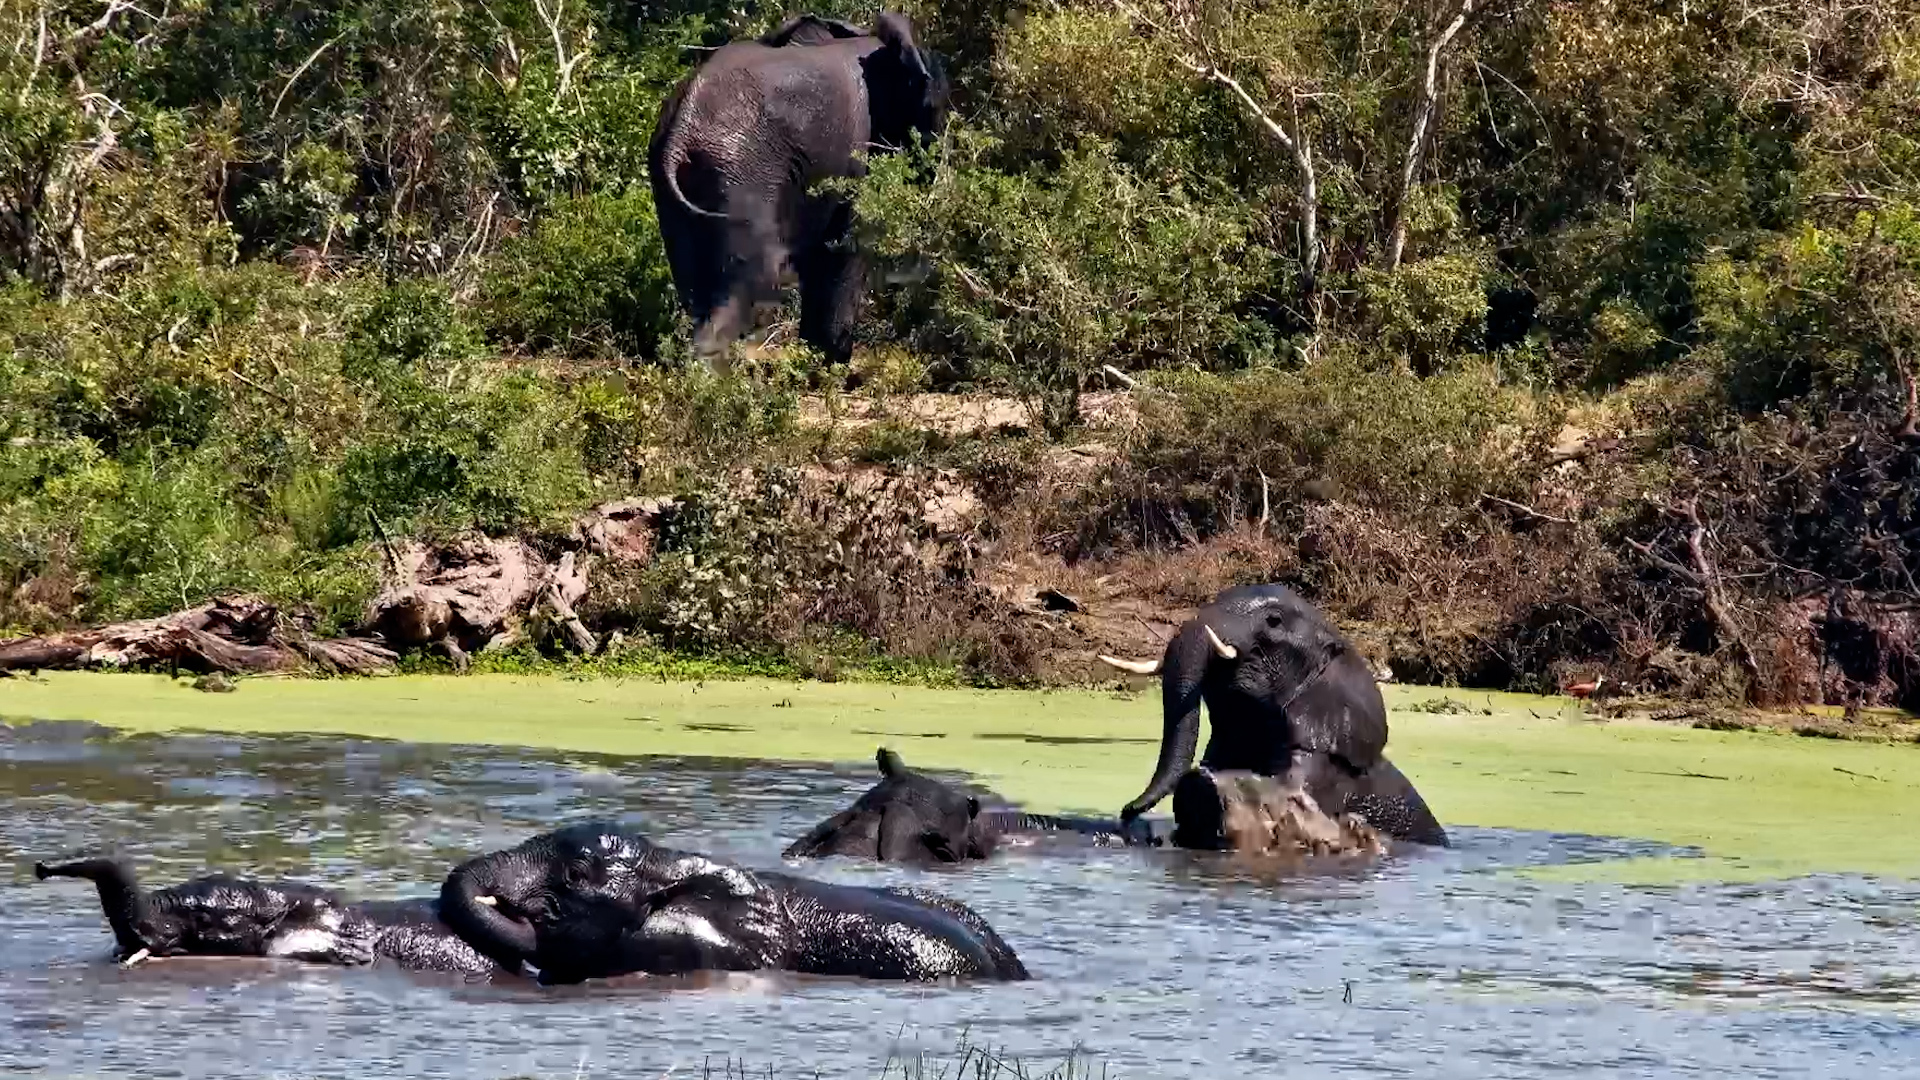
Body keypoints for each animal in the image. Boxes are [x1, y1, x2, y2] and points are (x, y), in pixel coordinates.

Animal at [647, 12, 950, 371]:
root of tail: (680, 133)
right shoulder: (858, 153)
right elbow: (844, 249)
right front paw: (831, 367)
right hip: (741, 179)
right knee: (750, 283)